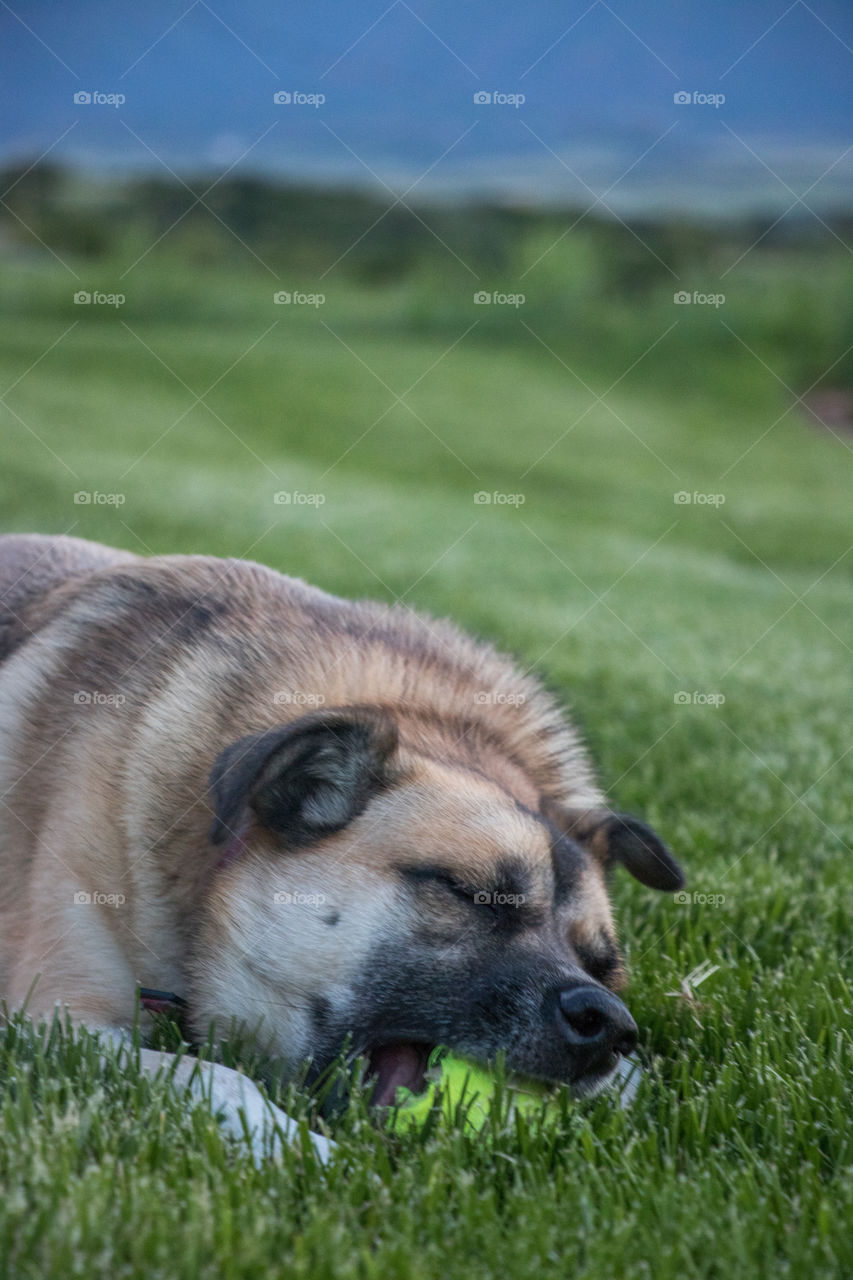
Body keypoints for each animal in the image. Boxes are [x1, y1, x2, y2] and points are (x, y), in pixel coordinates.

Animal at [0, 529, 676, 1162]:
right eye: (471, 895)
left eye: (605, 968)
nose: (610, 1027)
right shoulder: (57, 1024)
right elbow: (216, 1077)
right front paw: (303, 1150)